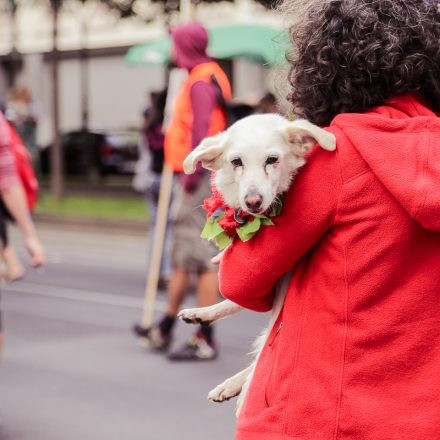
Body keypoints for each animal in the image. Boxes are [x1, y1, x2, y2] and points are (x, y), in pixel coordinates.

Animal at [177, 113, 336, 416]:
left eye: (272, 160)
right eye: (236, 162)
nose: (252, 203)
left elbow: (264, 348)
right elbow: (236, 304)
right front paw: (203, 313)